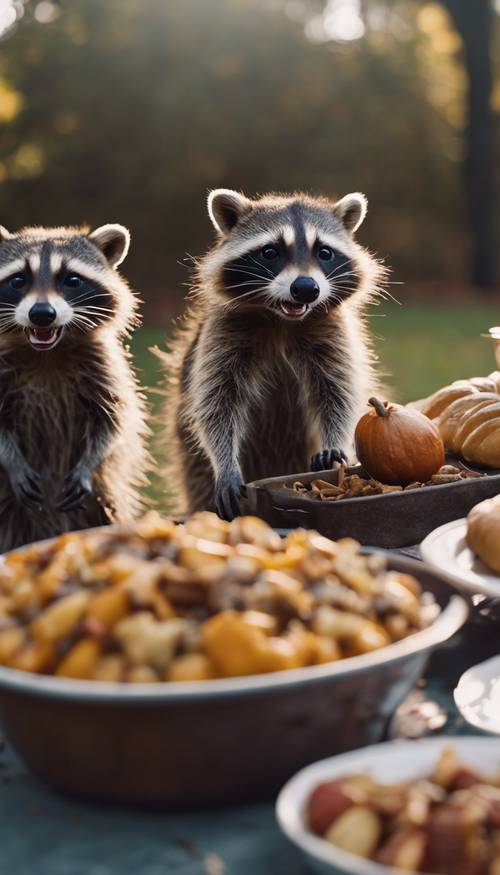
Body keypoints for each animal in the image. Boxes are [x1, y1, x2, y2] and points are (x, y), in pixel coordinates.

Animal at [0, 222, 149, 552]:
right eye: (17, 280)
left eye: (72, 280)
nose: (42, 314)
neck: (46, 353)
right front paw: (12, 462)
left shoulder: (103, 368)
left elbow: (112, 420)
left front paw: (88, 464)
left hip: (102, 497)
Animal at [162, 190, 384, 520]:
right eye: (270, 252)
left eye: (325, 252)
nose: (305, 288)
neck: (281, 319)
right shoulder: (222, 333)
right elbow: (216, 402)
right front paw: (225, 463)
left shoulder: (332, 332)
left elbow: (338, 391)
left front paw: (336, 440)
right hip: (190, 460)